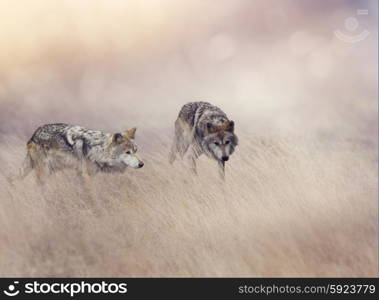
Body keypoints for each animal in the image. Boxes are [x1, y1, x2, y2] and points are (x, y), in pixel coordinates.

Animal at [15, 123, 145, 184]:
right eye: (127, 152)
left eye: (135, 150)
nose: (142, 164)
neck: (99, 149)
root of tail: (34, 135)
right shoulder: (87, 176)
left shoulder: (81, 175)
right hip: (44, 172)